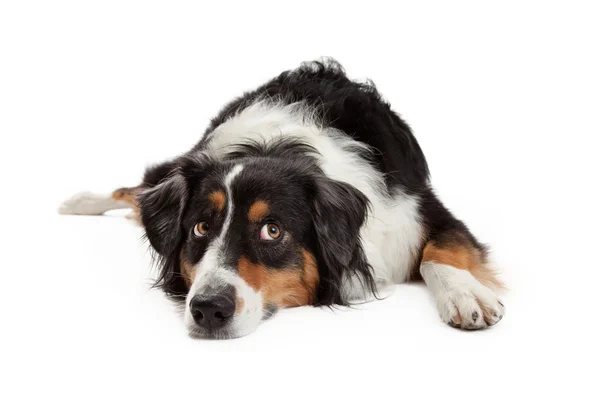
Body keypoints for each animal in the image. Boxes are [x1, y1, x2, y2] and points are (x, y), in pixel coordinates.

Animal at [59, 61, 502, 340]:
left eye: (272, 231)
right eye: (201, 227)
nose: (207, 310)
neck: (275, 146)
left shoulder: (419, 210)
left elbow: (440, 252)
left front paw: (466, 295)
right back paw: (77, 201)